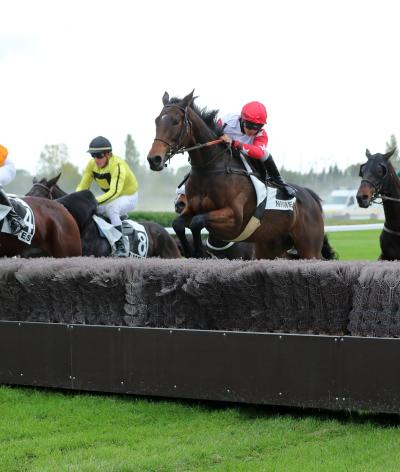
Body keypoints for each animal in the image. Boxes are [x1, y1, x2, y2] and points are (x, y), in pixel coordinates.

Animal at [147, 90, 334, 260]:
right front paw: (191, 250)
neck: (211, 168)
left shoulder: (234, 218)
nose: (154, 159)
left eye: (176, 121)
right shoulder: (191, 209)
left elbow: (197, 221)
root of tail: (310, 195)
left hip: (309, 248)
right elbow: (178, 223)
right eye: (156, 120)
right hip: (270, 247)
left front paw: (199, 252)